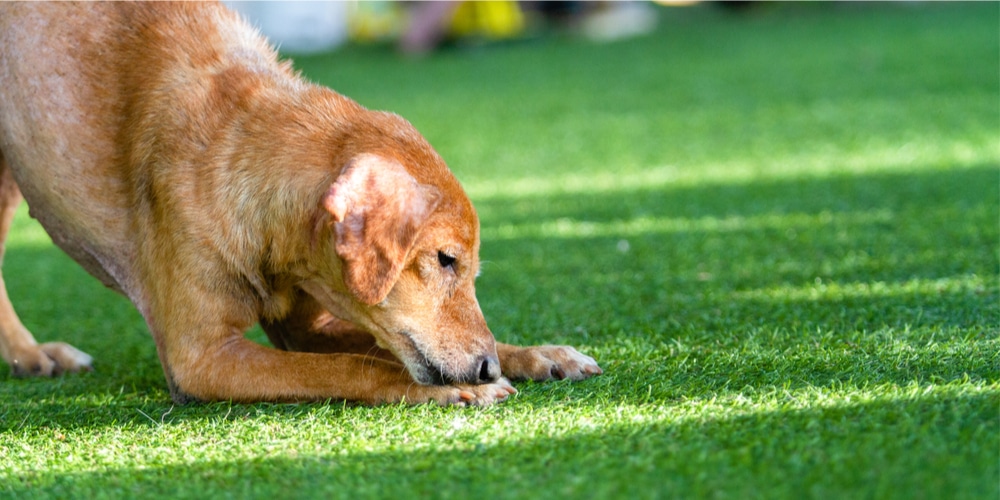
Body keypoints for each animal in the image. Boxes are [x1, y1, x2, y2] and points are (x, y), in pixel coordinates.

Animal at [0, 2, 600, 406]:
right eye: (445, 259)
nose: (485, 367)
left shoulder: (310, 325)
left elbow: (361, 349)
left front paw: (538, 354)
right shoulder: (202, 358)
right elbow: (351, 368)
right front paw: (439, 391)